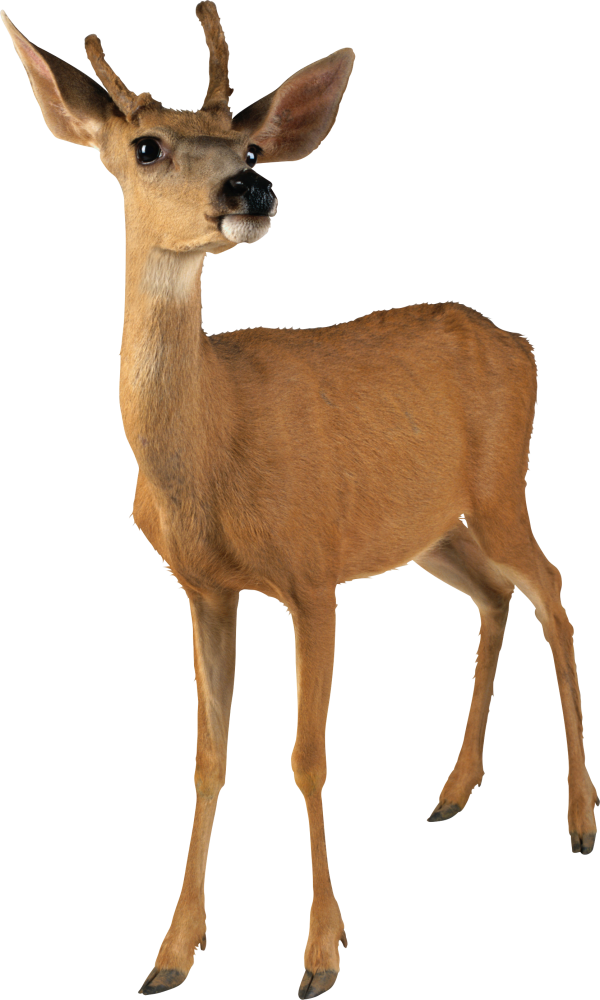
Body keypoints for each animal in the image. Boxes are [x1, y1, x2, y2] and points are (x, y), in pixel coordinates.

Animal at [3, 2, 597, 996]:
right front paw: (172, 953)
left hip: (500, 486)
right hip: (430, 529)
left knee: (551, 589)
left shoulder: (312, 575)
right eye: (148, 146)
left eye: (248, 146)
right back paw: (452, 791)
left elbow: (308, 757)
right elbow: (208, 758)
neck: (208, 454)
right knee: (495, 596)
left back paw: (583, 815)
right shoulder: (203, 588)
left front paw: (321, 951)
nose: (252, 191)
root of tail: (518, 342)